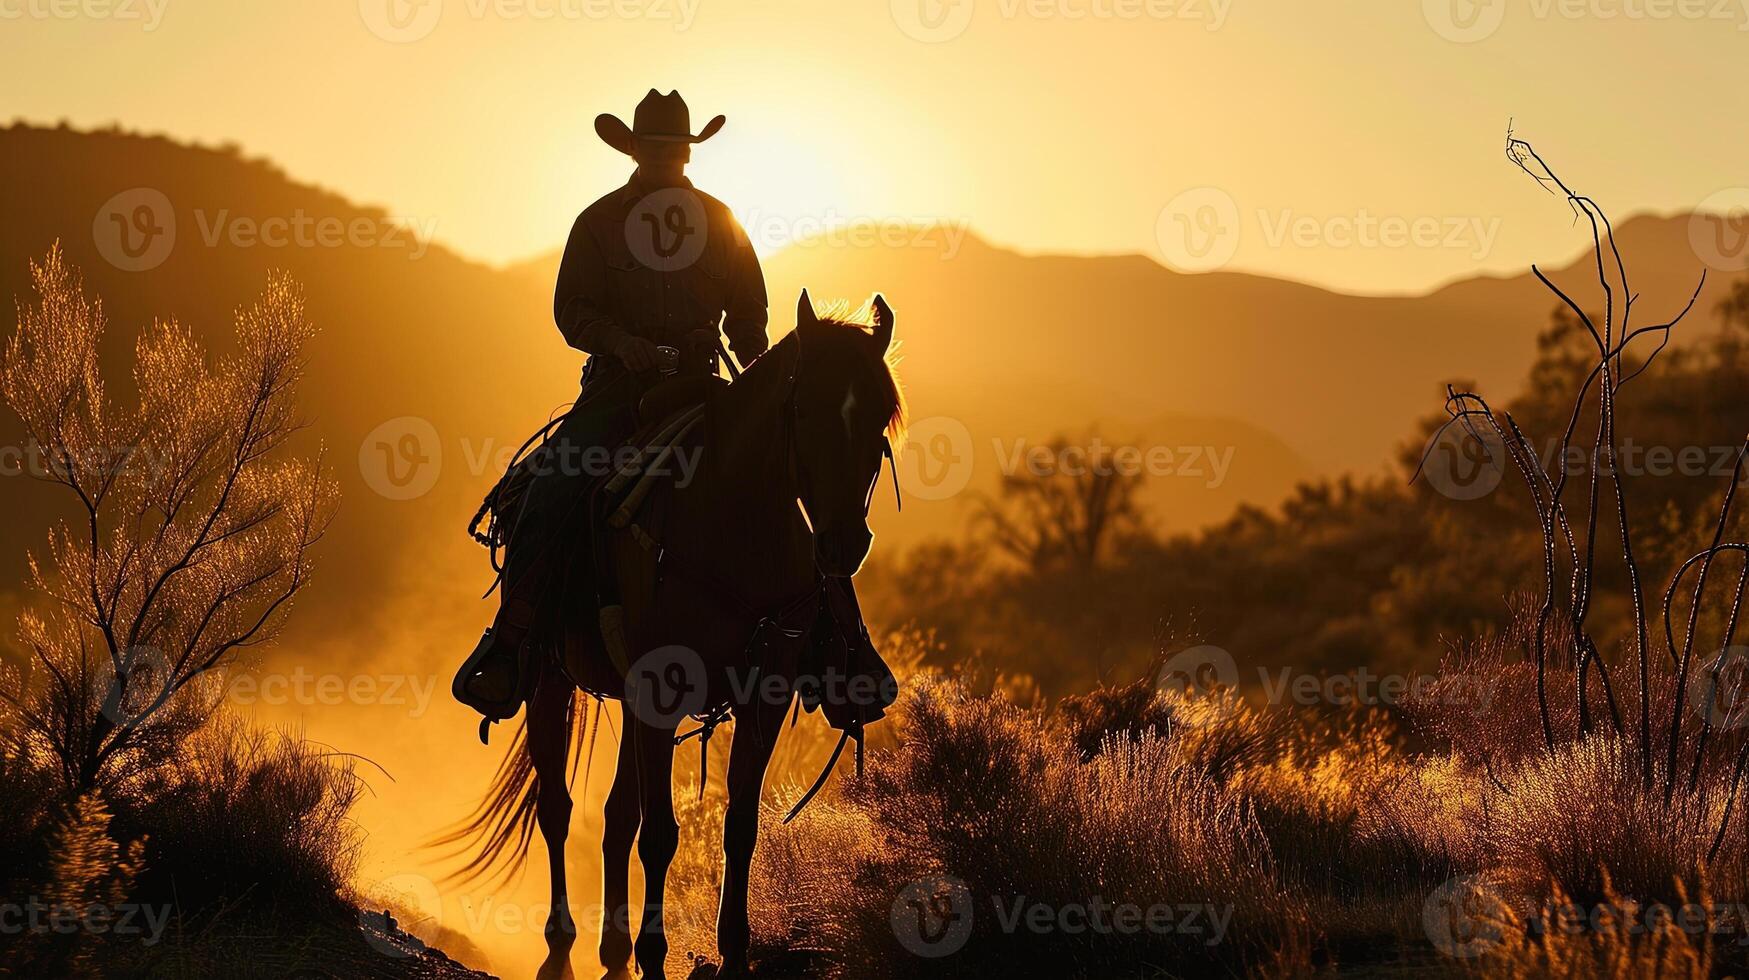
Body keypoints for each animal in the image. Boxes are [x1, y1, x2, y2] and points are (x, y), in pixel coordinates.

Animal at [440, 290, 902, 980]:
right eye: (802, 408)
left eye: (881, 418)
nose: (843, 545)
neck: (733, 526)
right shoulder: (661, 691)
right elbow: (660, 833)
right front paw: (655, 957)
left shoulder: (760, 698)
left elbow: (738, 826)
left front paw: (733, 955)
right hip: (551, 677)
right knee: (557, 809)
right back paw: (561, 948)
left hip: (631, 703)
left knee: (614, 817)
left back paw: (612, 951)